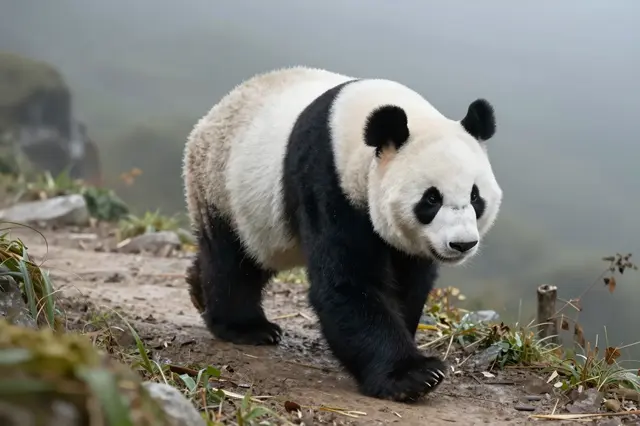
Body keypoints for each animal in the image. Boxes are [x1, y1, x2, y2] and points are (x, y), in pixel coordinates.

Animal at [182, 66, 502, 402]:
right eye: (431, 199)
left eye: (475, 197)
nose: (462, 244)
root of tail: (208, 119)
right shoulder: (326, 180)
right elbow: (348, 282)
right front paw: (414, 376)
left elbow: (408, 281)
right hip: (222, 188)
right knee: (233, 261)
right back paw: (246, 327)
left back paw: (198, 291)